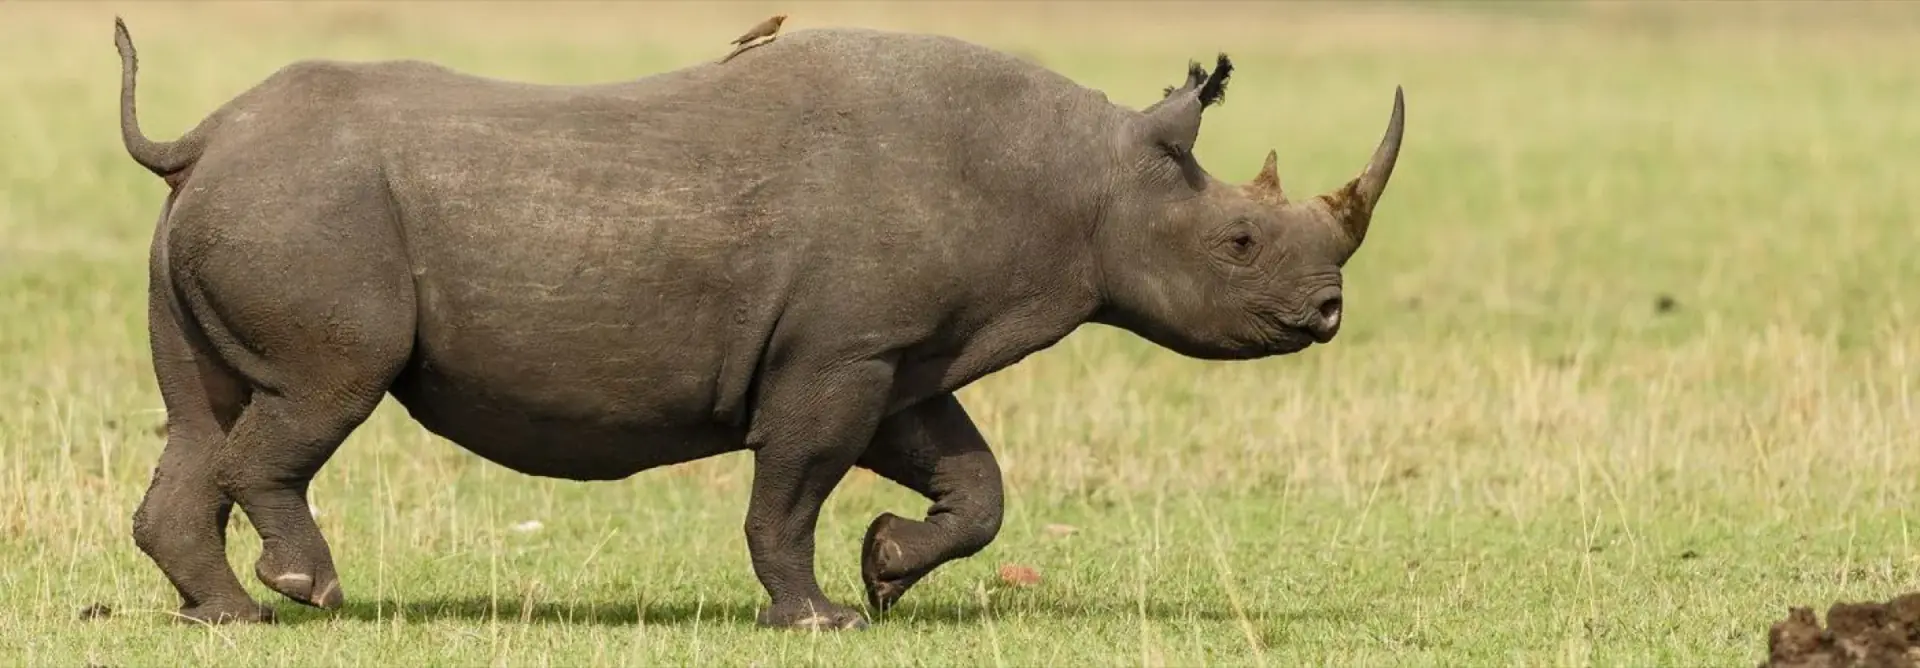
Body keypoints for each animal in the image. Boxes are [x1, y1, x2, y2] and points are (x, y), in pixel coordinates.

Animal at [112, 17, 1404, 630]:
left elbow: (972, 478)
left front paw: (887, 569)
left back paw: (225, 612)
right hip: (308, 211)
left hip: (246, 202)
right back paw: (307, 590)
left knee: (202, 413)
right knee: (324, 389)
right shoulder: (841, 351)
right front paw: (822, 614)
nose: (1329, 312)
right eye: (1240, 242)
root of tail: (197, 139)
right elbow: (792, 485)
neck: (1081, 178)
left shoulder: (893, 350)